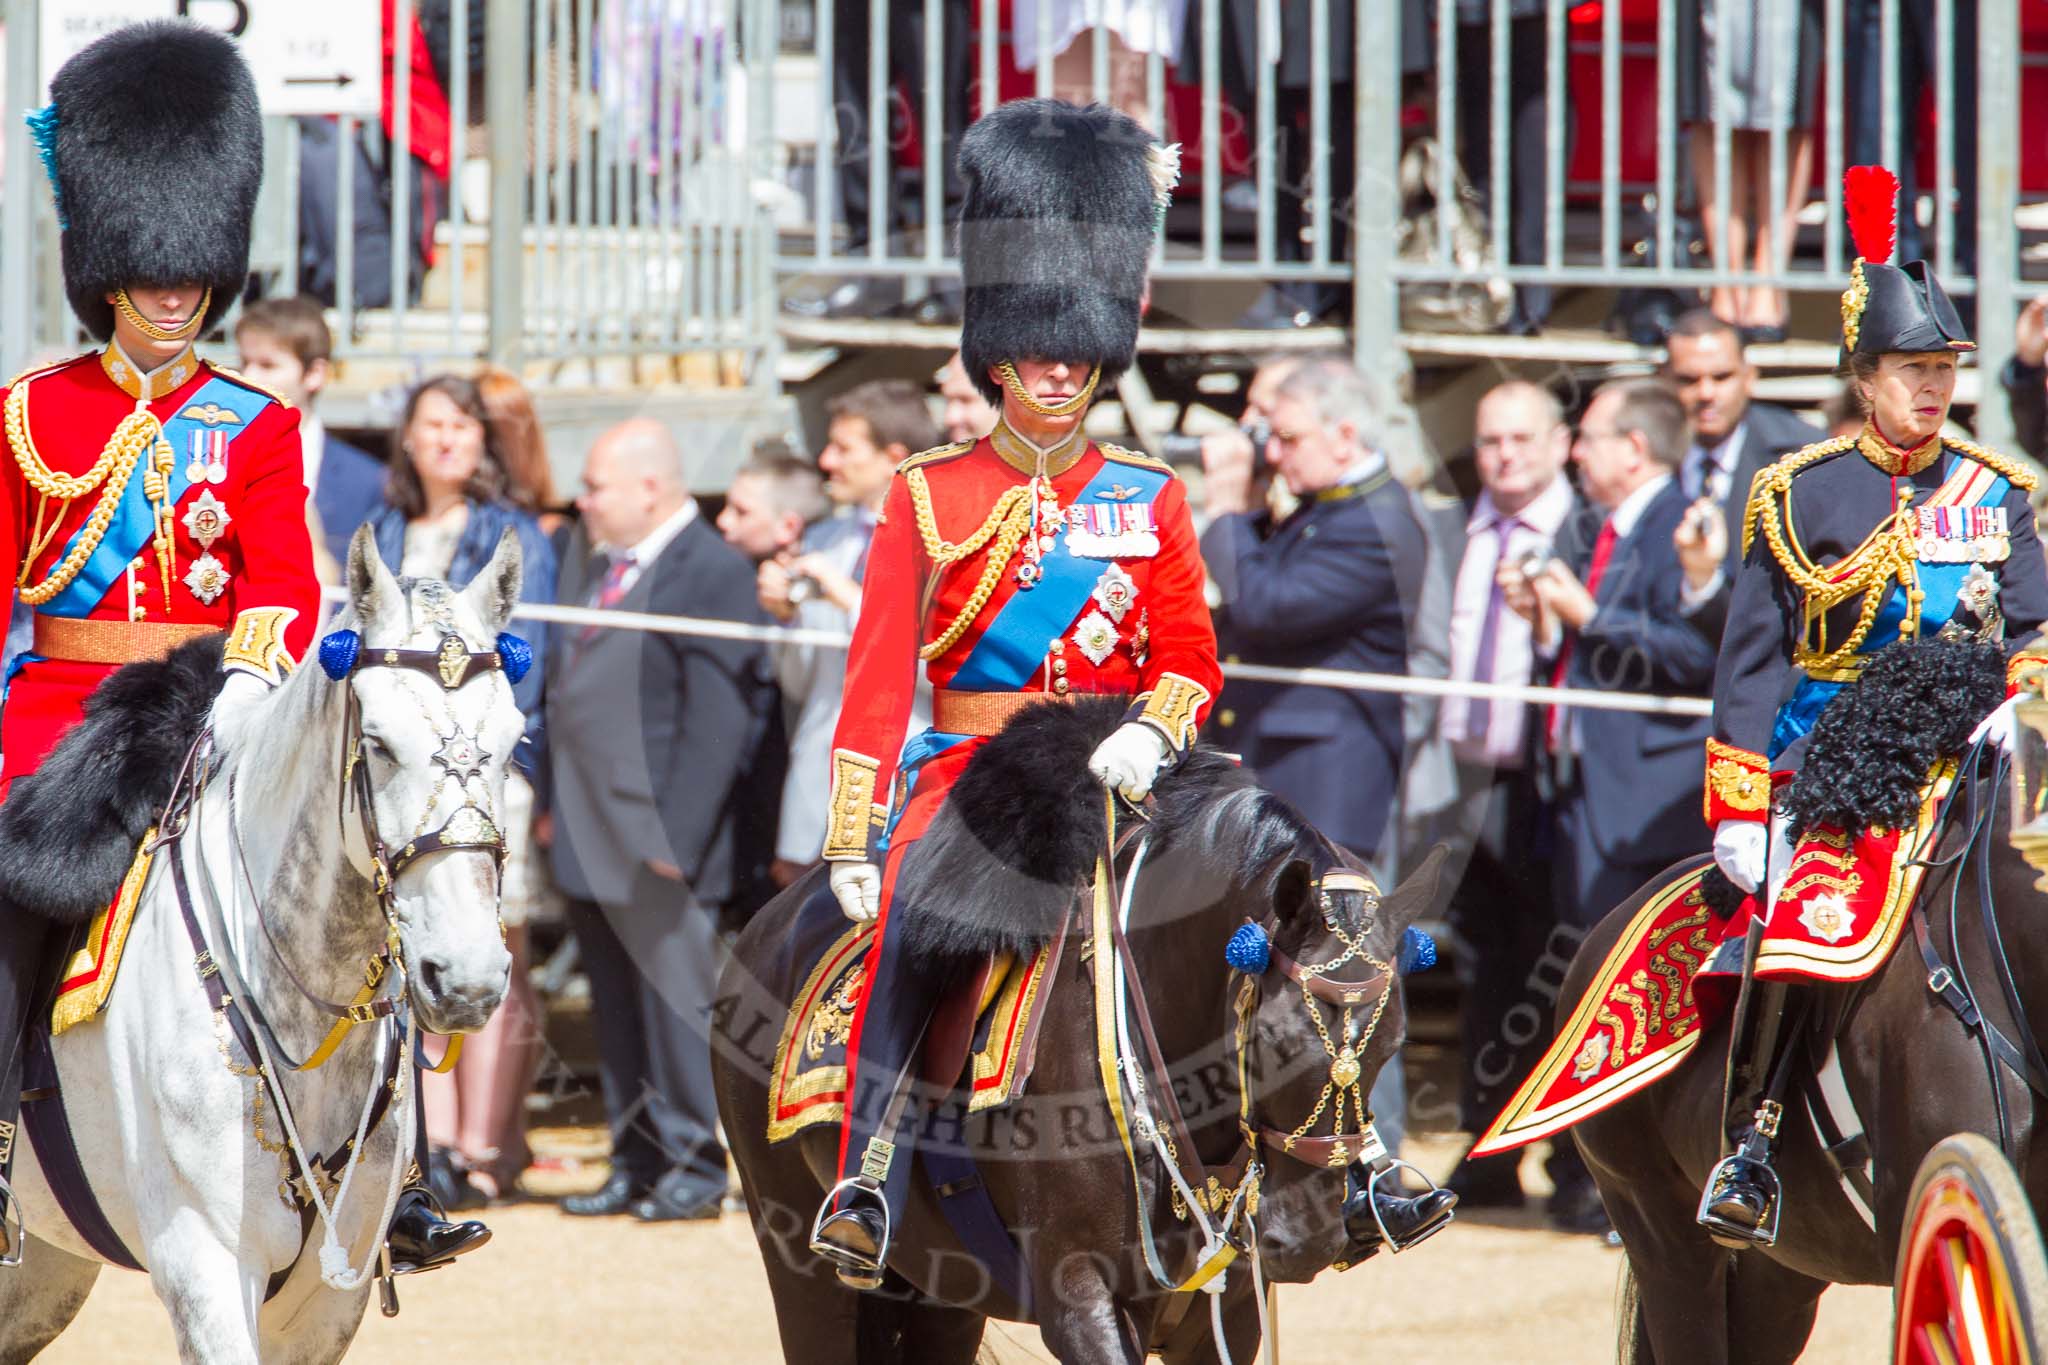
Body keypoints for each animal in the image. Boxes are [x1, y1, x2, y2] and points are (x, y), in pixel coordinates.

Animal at [712, 716, 1449, 1365]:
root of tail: (768, 921)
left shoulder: (1231, 1312)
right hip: (799, 1260)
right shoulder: (1079, 1299)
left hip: (942, 1291)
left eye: (1393, 1043)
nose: (1308, 1239)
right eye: (1273, 1041)